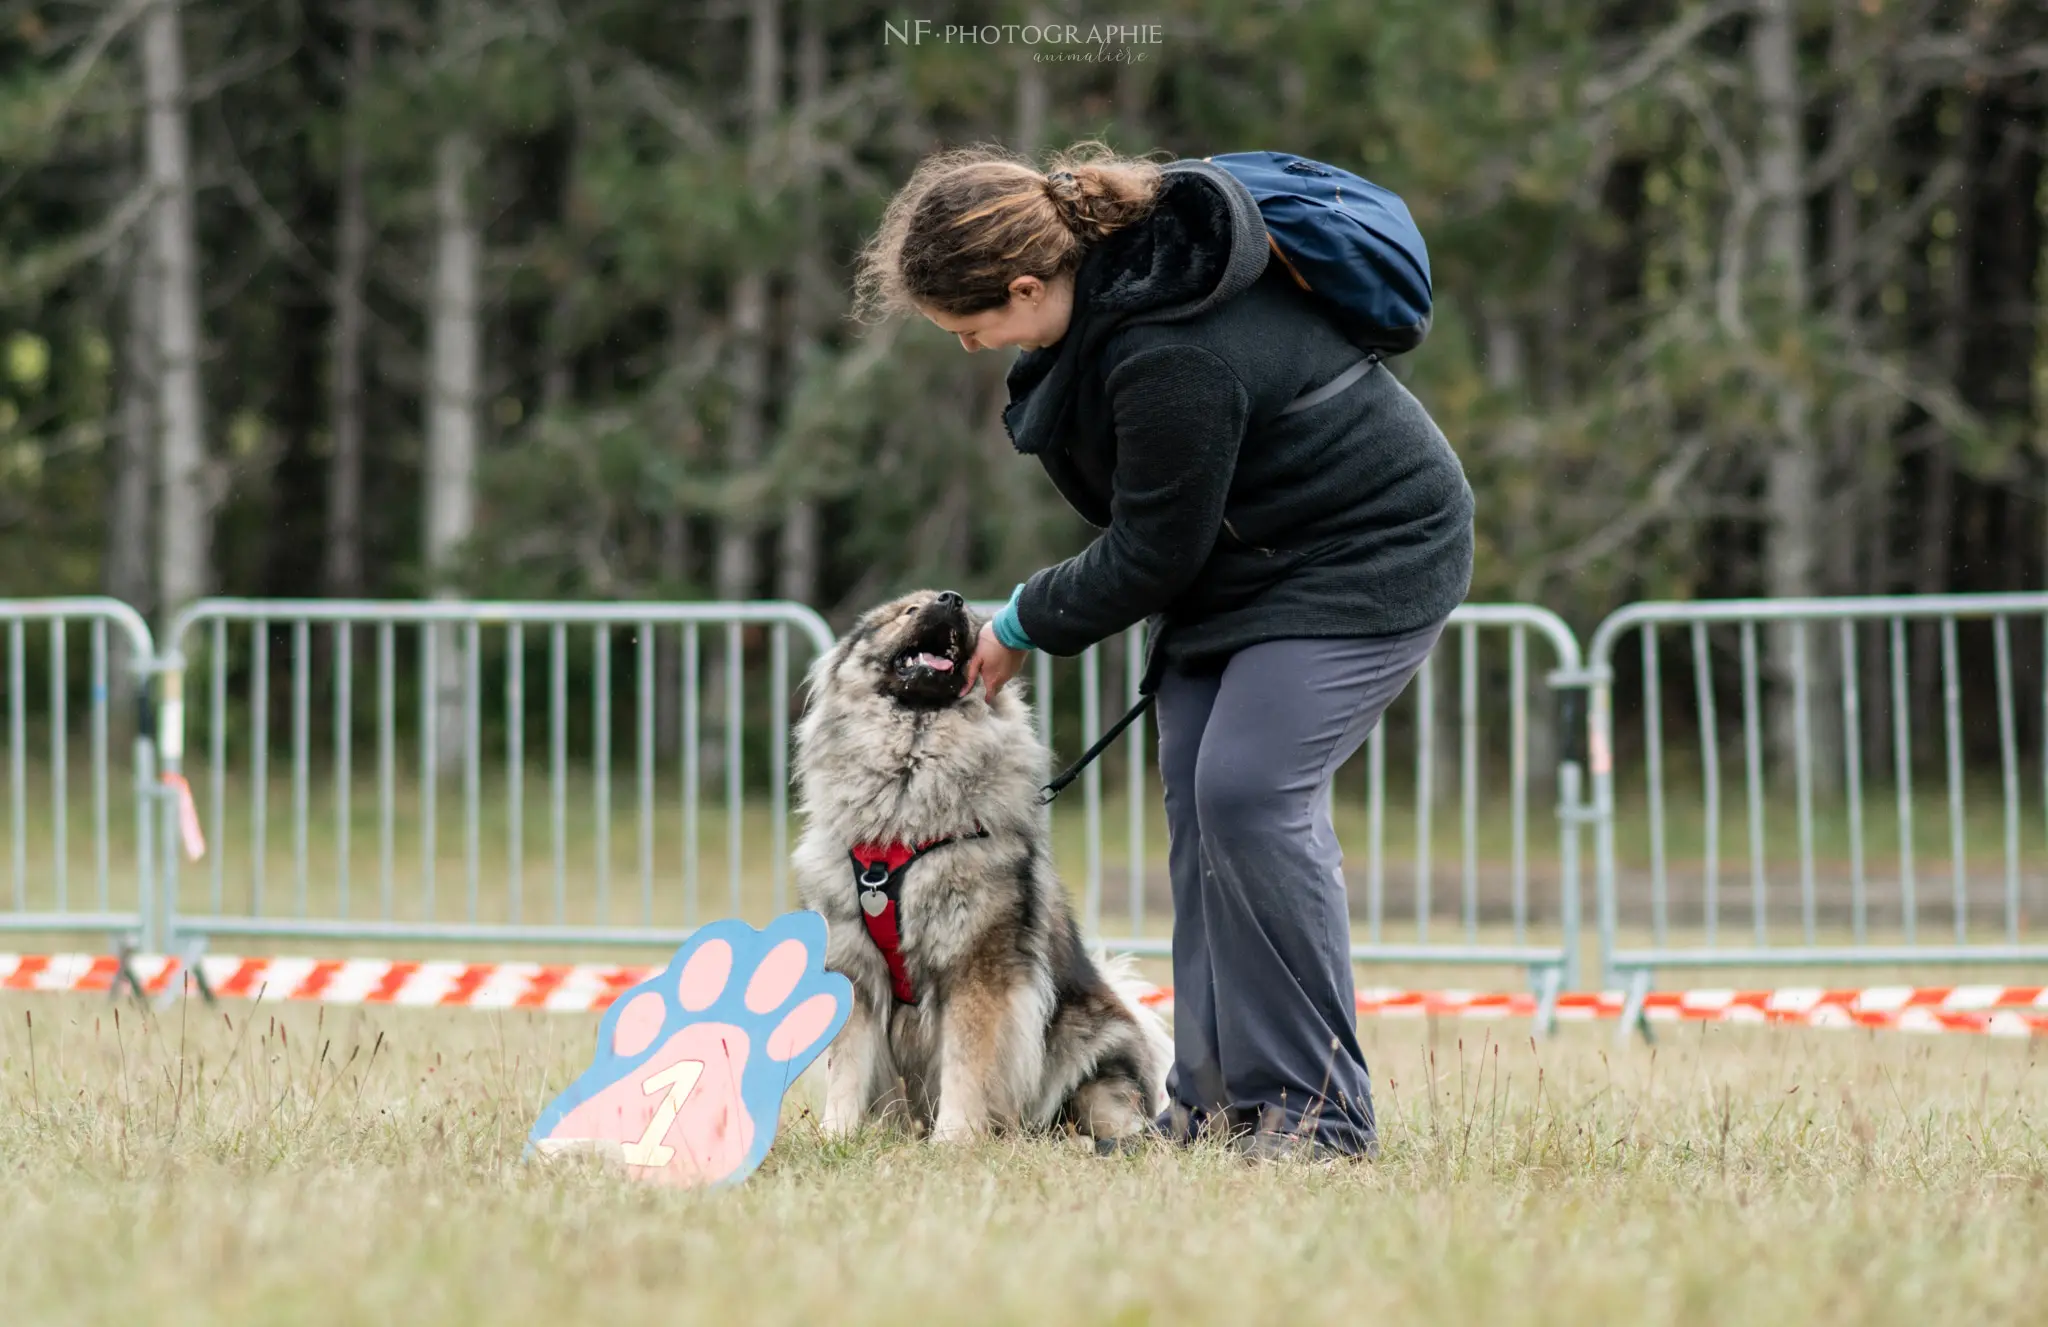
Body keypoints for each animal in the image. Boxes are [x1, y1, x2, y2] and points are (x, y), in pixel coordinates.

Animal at [786, 589, 1171, 1138]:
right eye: (908, 611)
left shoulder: (974, 970)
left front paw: (953, 1138)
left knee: (1109, 1117)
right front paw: (836, 1135)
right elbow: (848, 1070)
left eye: (962, 613)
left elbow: (965, 1065)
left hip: (1090, 1051)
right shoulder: (857, 972)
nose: (952, 599)